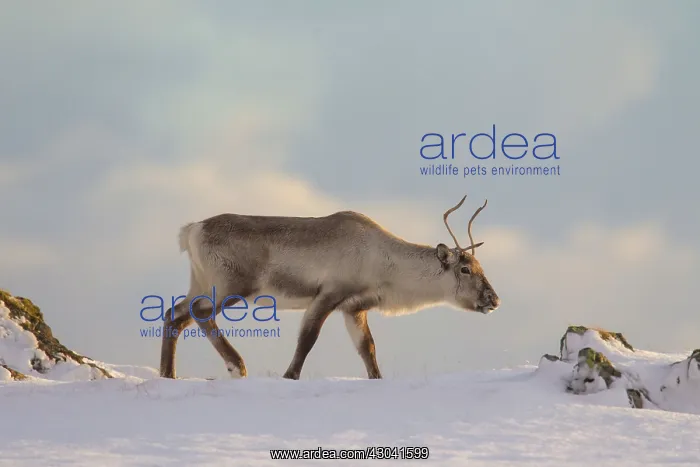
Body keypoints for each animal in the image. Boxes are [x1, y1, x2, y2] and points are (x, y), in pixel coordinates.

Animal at [159, 194, 501, 380]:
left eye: (481, 267)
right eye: (465, 268)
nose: (494, 299)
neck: (384, 263)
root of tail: (192, 230)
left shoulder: (354, 307)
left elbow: (368, 350)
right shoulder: (328, 293)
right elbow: (307, 340)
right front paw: (289, 376)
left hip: (200, 282)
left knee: (174, 313)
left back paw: (169, 374)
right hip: (230, 286)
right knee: (197, 313)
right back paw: (236, 366)